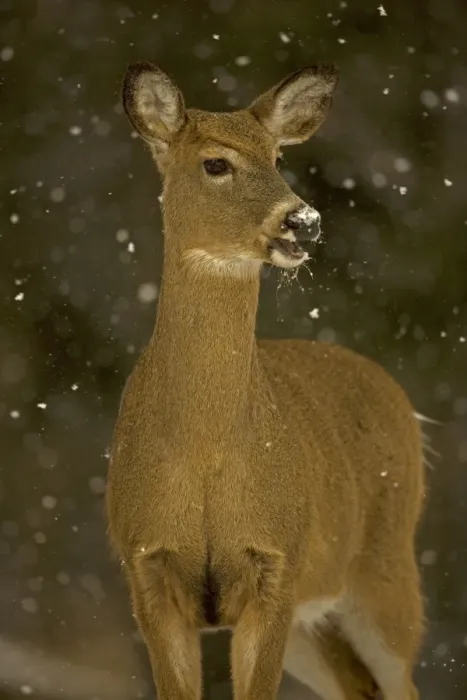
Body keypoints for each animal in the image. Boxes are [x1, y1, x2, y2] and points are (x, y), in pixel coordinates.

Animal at [105, 60, 425, 700]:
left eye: (278, 156)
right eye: (215, 163)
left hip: (385, 573)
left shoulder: (278, 563)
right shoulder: (146, 568)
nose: (303, 221)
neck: (205, 454)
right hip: (318, 623)